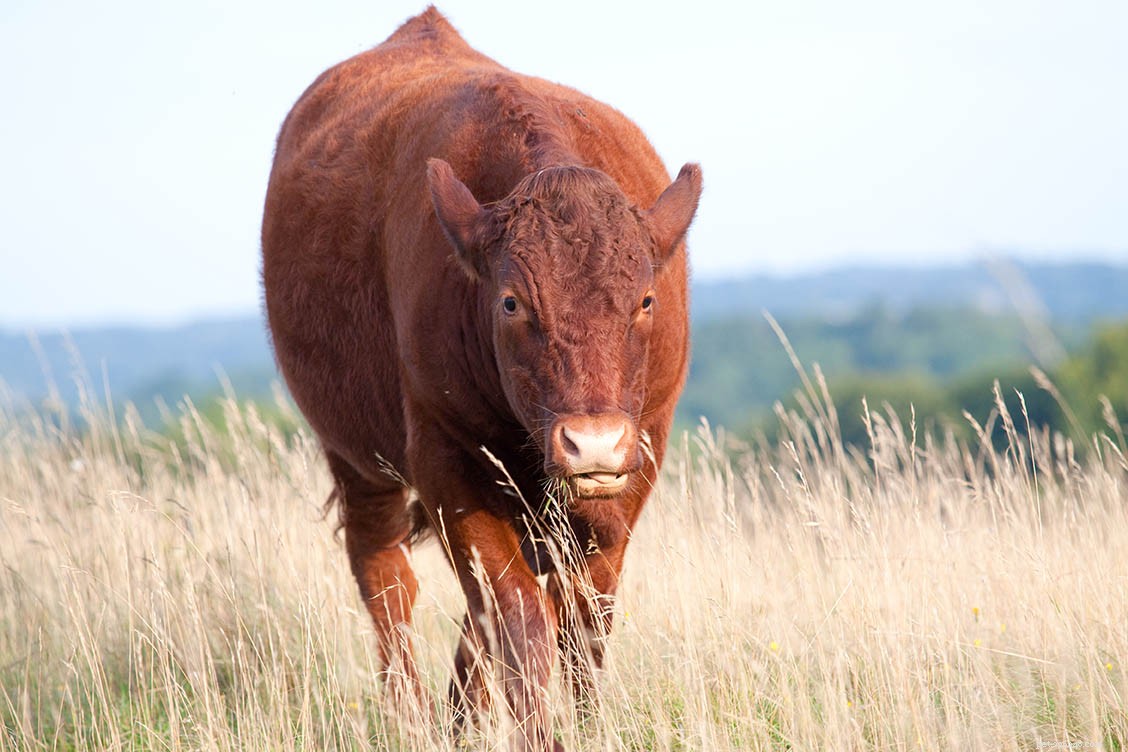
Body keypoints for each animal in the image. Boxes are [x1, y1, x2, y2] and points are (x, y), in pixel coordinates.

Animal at [261, 7, 701, 750]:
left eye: (646, 299)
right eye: (512, 302)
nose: (592, 443)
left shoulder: (636, 464)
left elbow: (581, 617)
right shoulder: (448, 463)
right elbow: (516, 611)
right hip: (357, 456)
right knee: (386, 578)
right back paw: (410, 718)